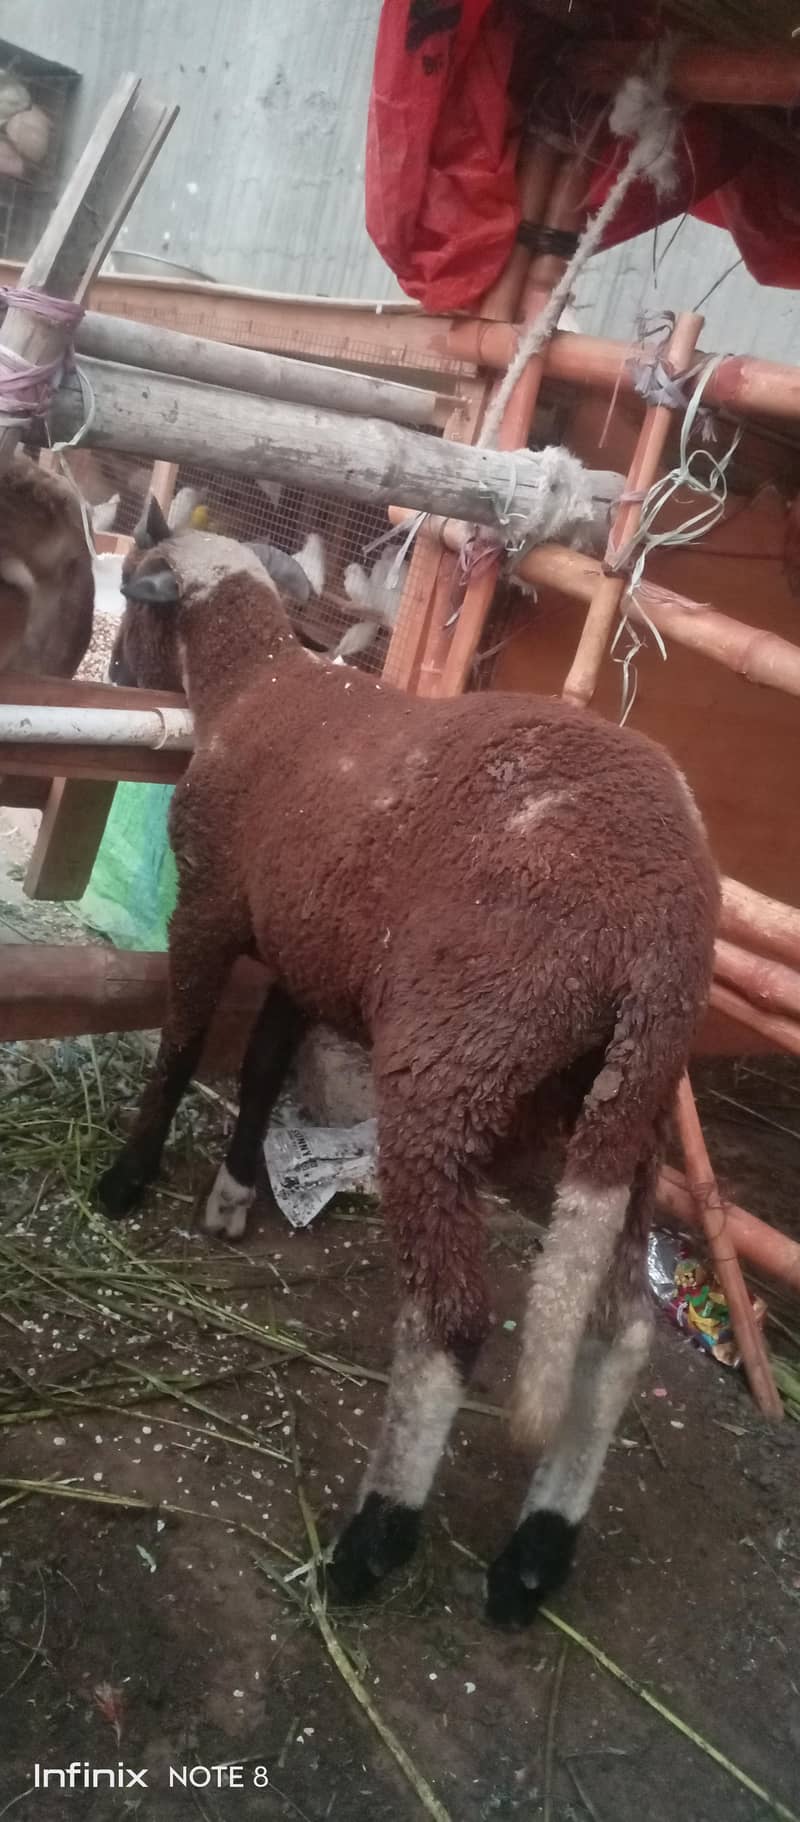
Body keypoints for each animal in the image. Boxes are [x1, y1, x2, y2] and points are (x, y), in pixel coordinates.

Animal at [97, 494, 719, 1627]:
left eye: (138, 596)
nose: (118, 675)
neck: (254, 684)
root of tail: (665, 917)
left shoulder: (208, 910)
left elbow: (180, 1045)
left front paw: (128, 1179)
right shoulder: (306, 950)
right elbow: (261, 1066)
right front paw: (232, 1193)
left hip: (456, 1060)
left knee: (454, 1322)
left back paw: (374, 1540)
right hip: (620, 1102)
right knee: (615, 1335)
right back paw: (535, 1551)